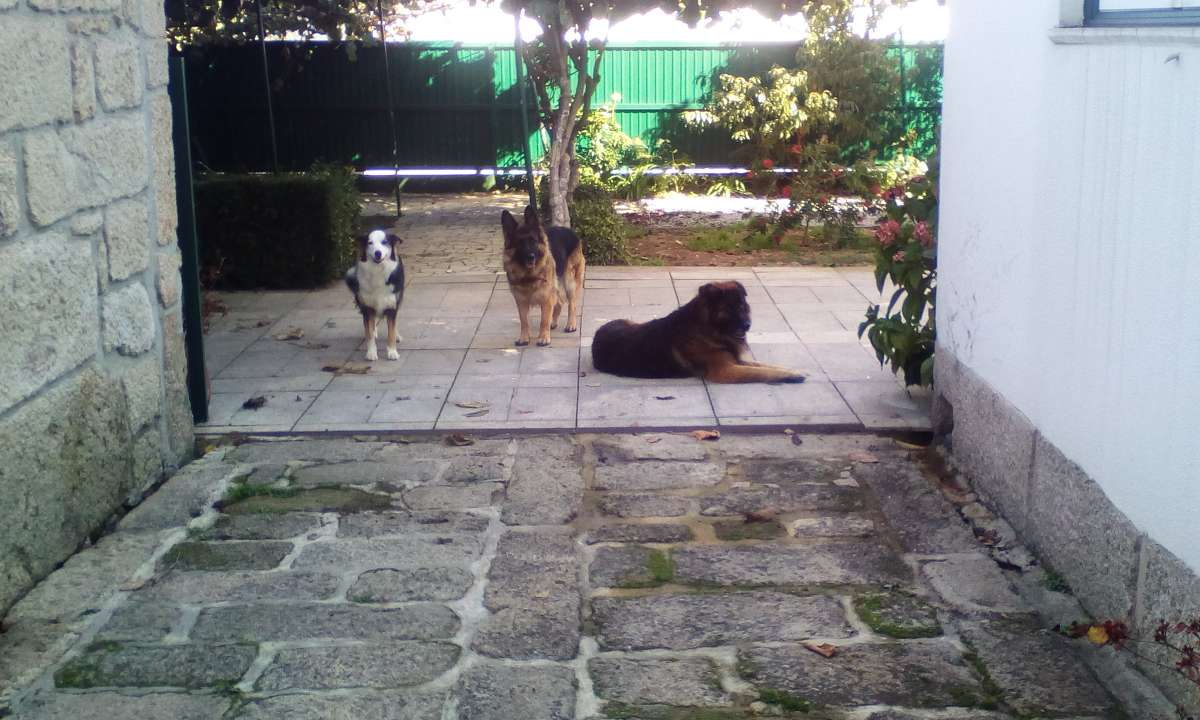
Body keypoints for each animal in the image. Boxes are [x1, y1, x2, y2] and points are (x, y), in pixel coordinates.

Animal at [345, 229, 405, 360]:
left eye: (384, 242)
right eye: (370, 243)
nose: (378, 253)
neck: (378, 271)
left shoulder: (391, 306)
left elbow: (391, 331)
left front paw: (392, 352)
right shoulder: (367, 307)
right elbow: (369, 333)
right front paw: (371, 353)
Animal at [501, 206, 585, 348]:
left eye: (533, 241)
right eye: (520, 243)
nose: (531, 257)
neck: (529, 275)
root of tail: (568, 230)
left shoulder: (546, 298)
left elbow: (544, 320)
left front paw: (544, 338)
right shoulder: (521, 301)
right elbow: (524, 321)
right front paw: (524, 338)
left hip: (569, 281)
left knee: (571, 304)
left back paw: (571, 325)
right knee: (559, 303)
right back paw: (554, 322)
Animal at [590, 279, 806, 381]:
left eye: (743, 307)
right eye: (729, 309)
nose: (747, 325)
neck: (706, 329)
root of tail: (597, 333)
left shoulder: (736, 360)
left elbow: (764, 366)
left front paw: (790, 370)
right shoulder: (726, 370)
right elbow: (760, 373)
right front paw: (792, 376)